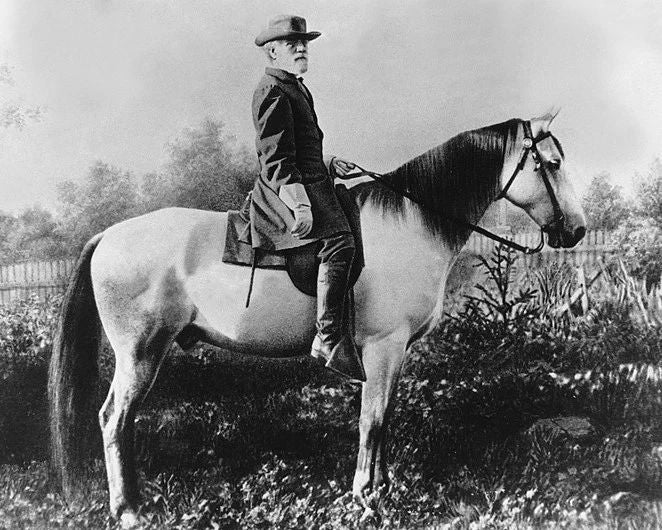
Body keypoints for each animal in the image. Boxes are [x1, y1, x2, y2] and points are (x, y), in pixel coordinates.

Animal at [48, 113, 586, 527]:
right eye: (552, 164)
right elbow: (372, 419)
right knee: (114, 419)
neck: (411, 222)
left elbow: (384, 417)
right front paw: (365, 496)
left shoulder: (394, 353)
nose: (577, 230)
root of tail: (108, 235)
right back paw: (128, 509)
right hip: (139, 354)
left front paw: (383, 487)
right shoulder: (382, 347)